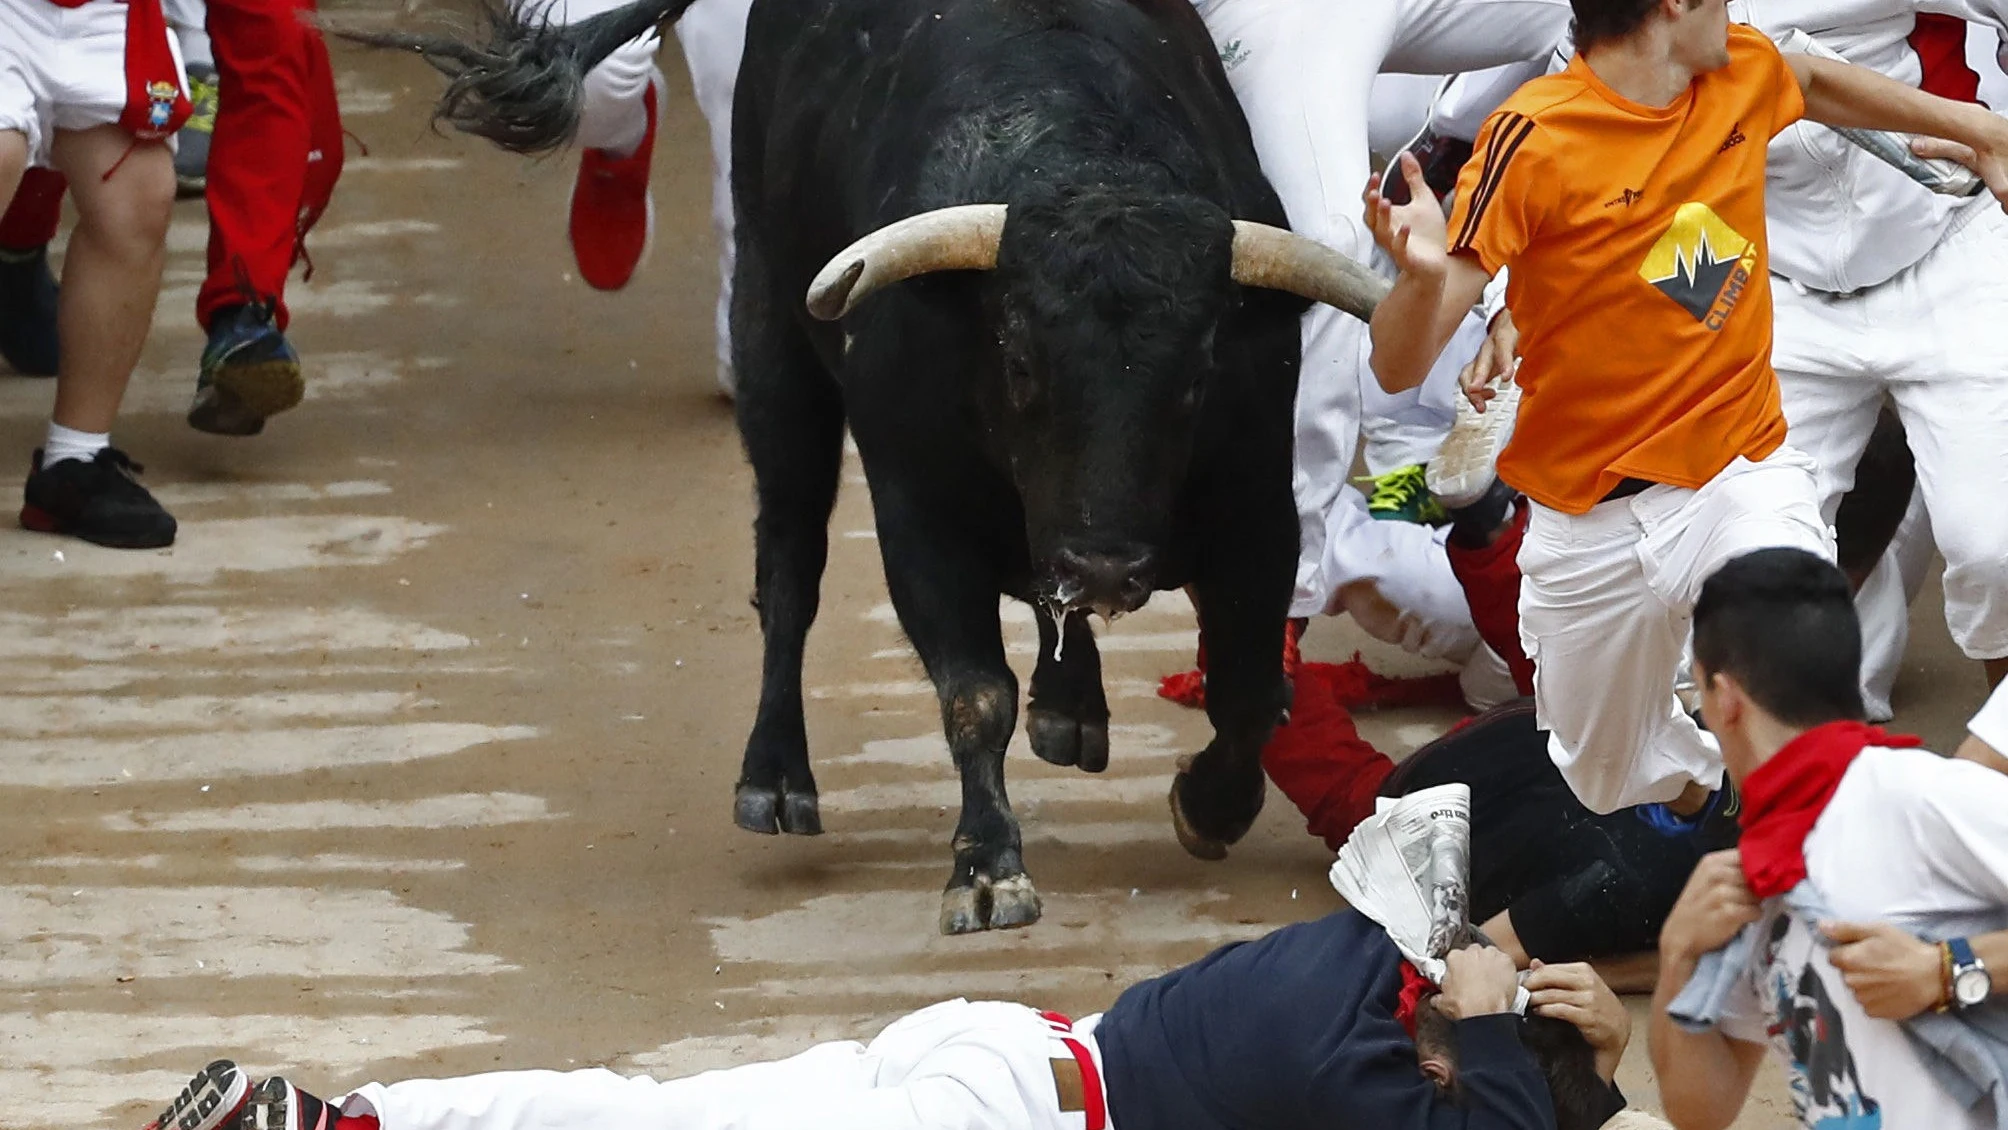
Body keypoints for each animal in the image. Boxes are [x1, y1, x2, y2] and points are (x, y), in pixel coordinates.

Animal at [353, 0, 1389, 931]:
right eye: (1019, 359)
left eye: (1199, 372)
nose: (1106, 566)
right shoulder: (918, 515)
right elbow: (974, 693)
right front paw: (987, 870)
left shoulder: (1257, 511)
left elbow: (1248, 690)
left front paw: (1206, 807)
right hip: (773, 348)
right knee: (790, 568)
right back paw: (775, 779)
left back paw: (1072, 706)